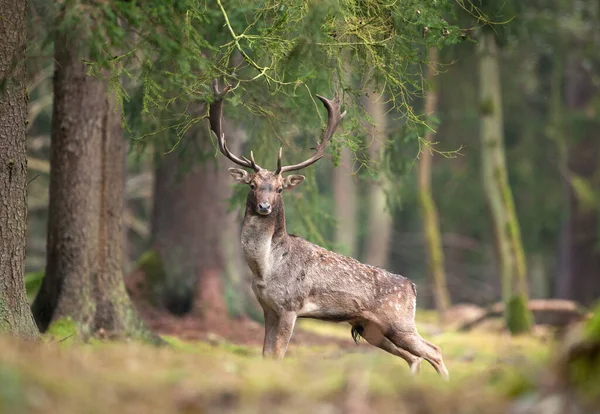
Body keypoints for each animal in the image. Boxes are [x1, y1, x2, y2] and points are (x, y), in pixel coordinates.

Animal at [209, 80, 448, 378]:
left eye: (279, 189)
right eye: (252, 185)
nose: (264, 207)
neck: (265, 269)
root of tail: (413, 287)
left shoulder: (290, 306)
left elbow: (278, 355)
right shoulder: (267, 308)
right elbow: (265, 356)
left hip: (399, 322)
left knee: (434, 350)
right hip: (370, 328)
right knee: (414, 357)